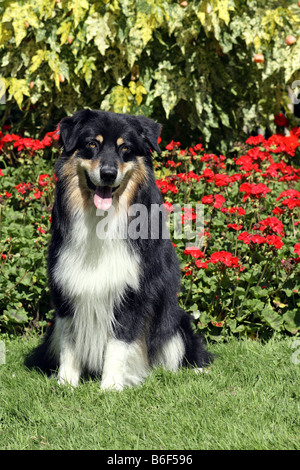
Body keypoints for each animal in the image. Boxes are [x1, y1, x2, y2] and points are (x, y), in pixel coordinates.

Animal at [26, 109, 213, 390]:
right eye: (92, 144)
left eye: (125, 148)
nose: (108, 173)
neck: (101, 219)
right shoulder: (67, 287)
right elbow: (71, 342)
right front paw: (66, 383)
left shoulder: (133, 290)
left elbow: (119, 342)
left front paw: (111, 387)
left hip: (175, 322)